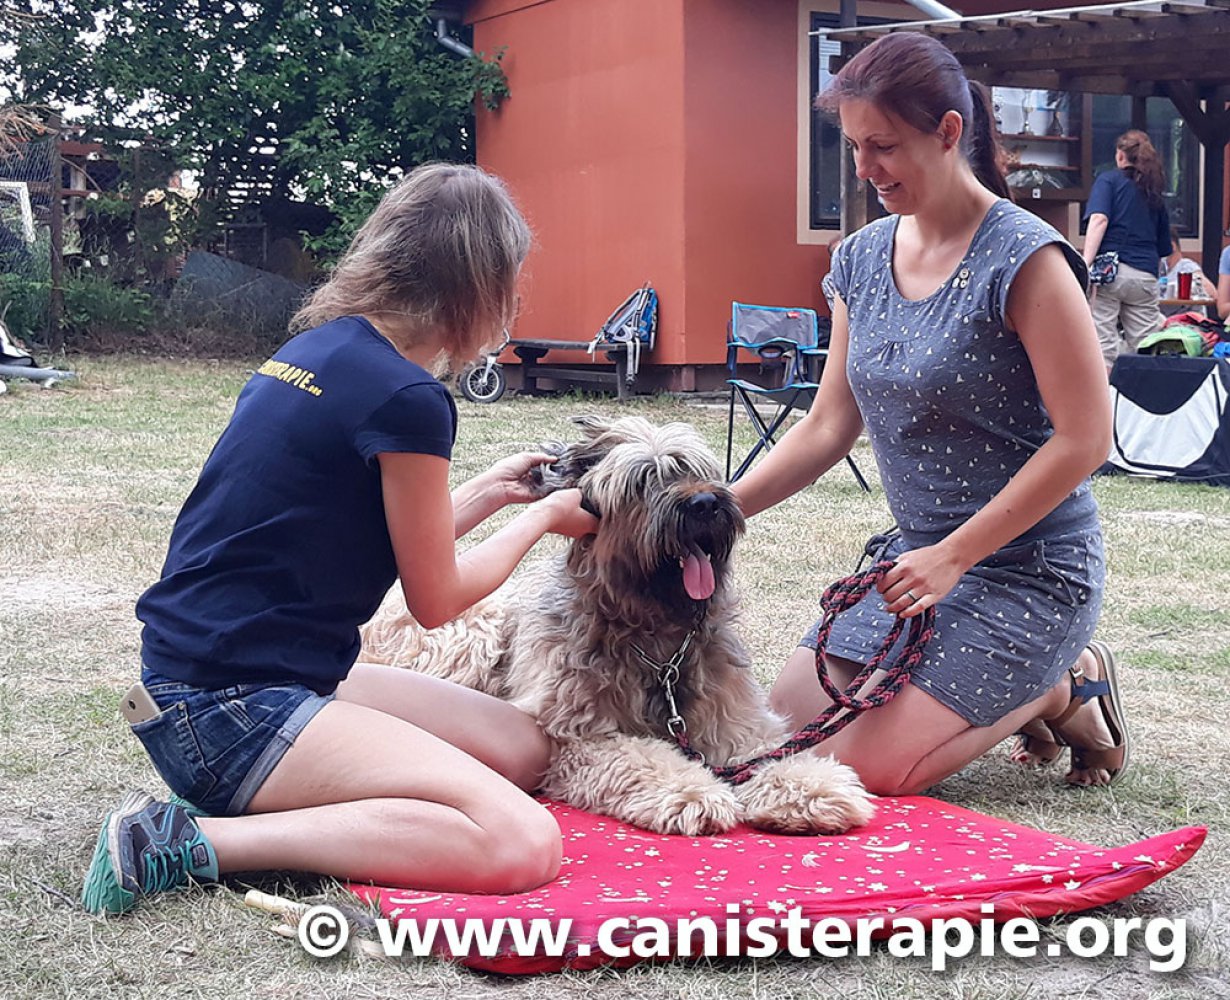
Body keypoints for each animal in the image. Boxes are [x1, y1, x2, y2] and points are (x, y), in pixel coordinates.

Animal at [360, 415, 874, 837]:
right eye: (643, 481)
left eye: (694, 469)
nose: (705, 504)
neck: (656, 632)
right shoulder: (576, 736)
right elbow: (643, 757)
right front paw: (691, 792)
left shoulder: (733, 719)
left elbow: (768, 748)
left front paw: (812, 788)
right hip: (475, 628)